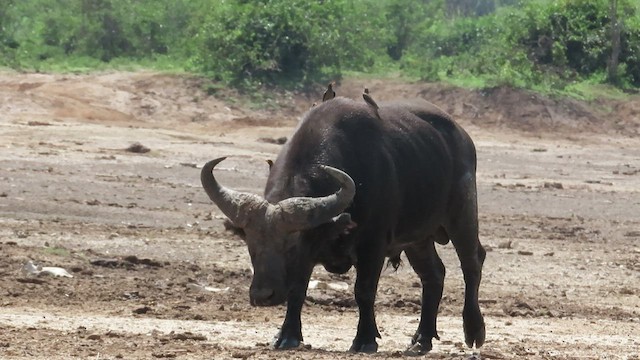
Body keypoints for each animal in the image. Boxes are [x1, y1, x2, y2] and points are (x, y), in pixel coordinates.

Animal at [200, 94, 484, 356]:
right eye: (251, 246)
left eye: (291, 247)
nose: (262, 295)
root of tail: (462, 137)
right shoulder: (308, 255)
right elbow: (297, 291)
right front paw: (288, 335)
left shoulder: (373, 246)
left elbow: (364, 291)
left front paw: (365, 340)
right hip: (418, 237)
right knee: (433, 274)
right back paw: (421, 339)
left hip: (462, 213)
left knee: (472, 262)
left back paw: (474, 330)